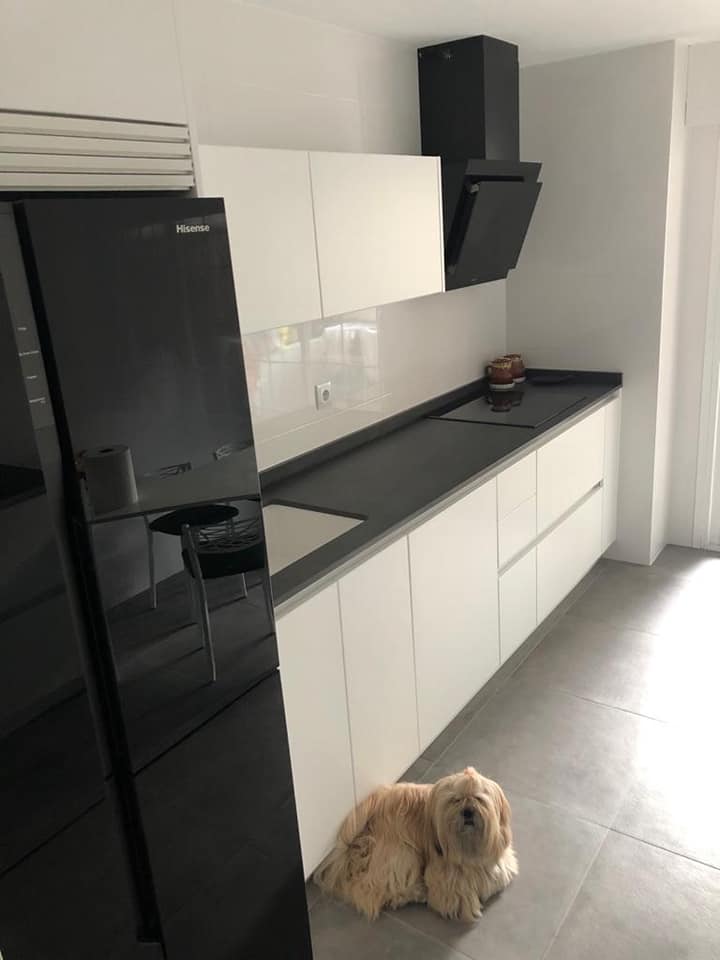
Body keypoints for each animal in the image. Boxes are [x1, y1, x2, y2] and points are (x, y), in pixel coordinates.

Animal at [313, 766, 517, 922]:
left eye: (478, 799)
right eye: (455, 800)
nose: (467, 812)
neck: (468, 846)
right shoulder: (441, 871)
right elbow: (453, 893)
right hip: (402, 852)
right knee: (370, 889)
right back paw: (417, 892)